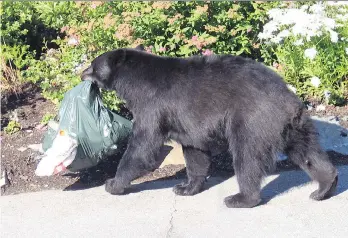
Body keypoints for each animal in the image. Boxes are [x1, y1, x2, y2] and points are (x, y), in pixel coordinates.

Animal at [81, 47, 338, 208]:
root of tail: (287, 98)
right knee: (308, 153)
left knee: (247, 158)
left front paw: (113, 184)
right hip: (294, 126)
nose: (82, 73)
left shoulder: (152, 105)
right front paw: (185, 187)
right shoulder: (187, 122)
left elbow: (143, 147)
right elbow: (194, 151)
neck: (133, 82)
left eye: (93, 65)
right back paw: (324, 187)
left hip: (252, 121)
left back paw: (241, 198)